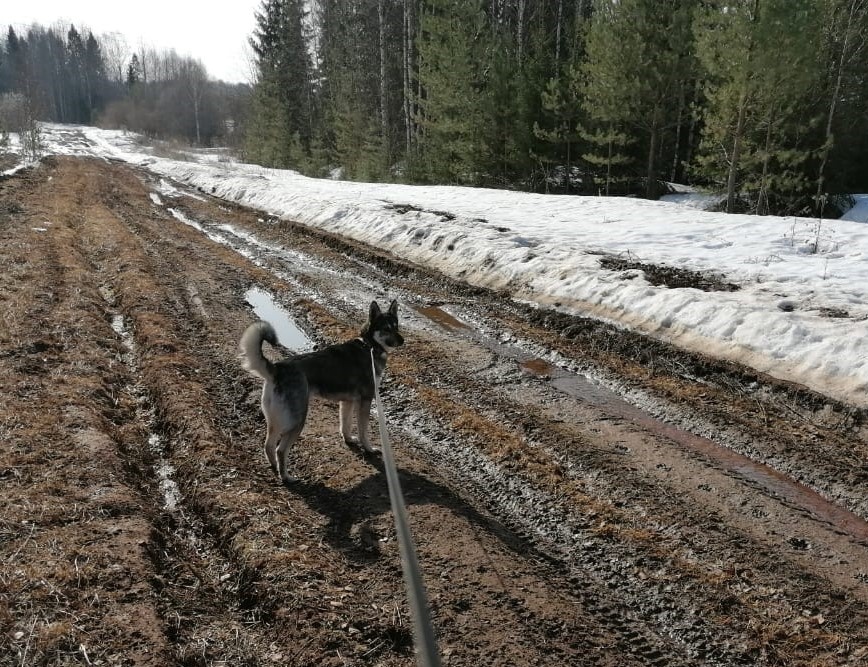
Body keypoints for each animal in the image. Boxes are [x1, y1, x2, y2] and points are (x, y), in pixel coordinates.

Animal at [241, 300, 404, 482]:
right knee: (280, 450)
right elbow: (363, 430)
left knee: (268, 445)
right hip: (297, 421)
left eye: (396, 326)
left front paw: (349, 440)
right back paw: (287, 477)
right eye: (386, 329)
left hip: (275, 420)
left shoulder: (347, 402)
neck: (369, 346)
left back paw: (275, 467)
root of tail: (278, 368)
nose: (402, 340)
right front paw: (368, 449)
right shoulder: (365, 400)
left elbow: (345, 425)